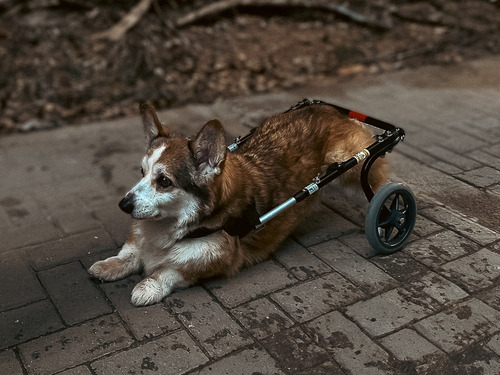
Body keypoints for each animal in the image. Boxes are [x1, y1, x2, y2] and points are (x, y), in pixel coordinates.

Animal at [88, 100, 388, 306]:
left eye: (164, 181)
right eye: (142, 172)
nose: (124, 205)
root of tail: (331, 110)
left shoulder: (214, 260)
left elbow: (169, 270)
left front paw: (147, 287)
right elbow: (129, 253)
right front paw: (108, 266)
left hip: (351, 167)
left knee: (380, 184)